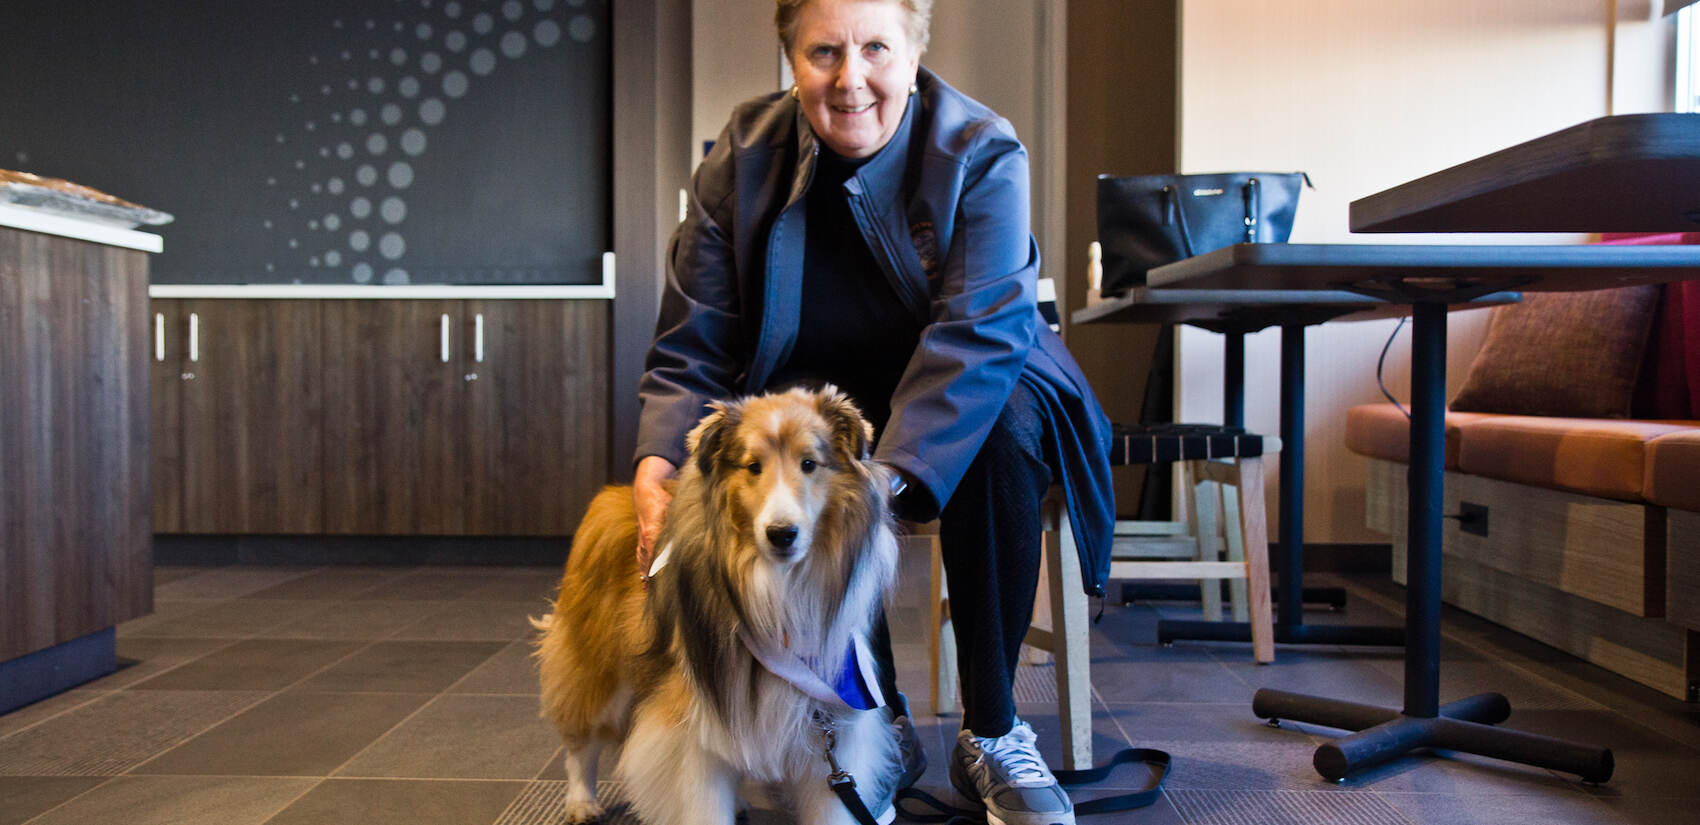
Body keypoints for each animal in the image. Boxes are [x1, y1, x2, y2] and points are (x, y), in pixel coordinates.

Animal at [530, 386, 904, 823]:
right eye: (753, 466)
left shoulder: (828, 731)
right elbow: (703, 805)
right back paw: (581, 802)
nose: (781, 534)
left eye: (809, 463)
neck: (776, 590)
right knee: (580, 742)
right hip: (595, 666)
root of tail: (612, 494)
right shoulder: (691, 730)